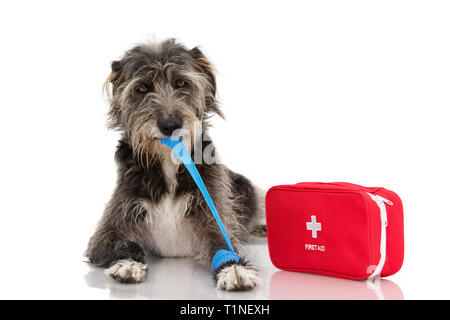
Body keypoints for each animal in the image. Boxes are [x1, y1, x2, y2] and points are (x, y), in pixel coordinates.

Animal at [86, 38, 266, 292]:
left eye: (181, 82)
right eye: (141, 88)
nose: (170, 125)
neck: (168, 162)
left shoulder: (214, 217)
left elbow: (223, 243)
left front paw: (233, 269)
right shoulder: (104, 234)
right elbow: (123, 244)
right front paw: (129, 264)